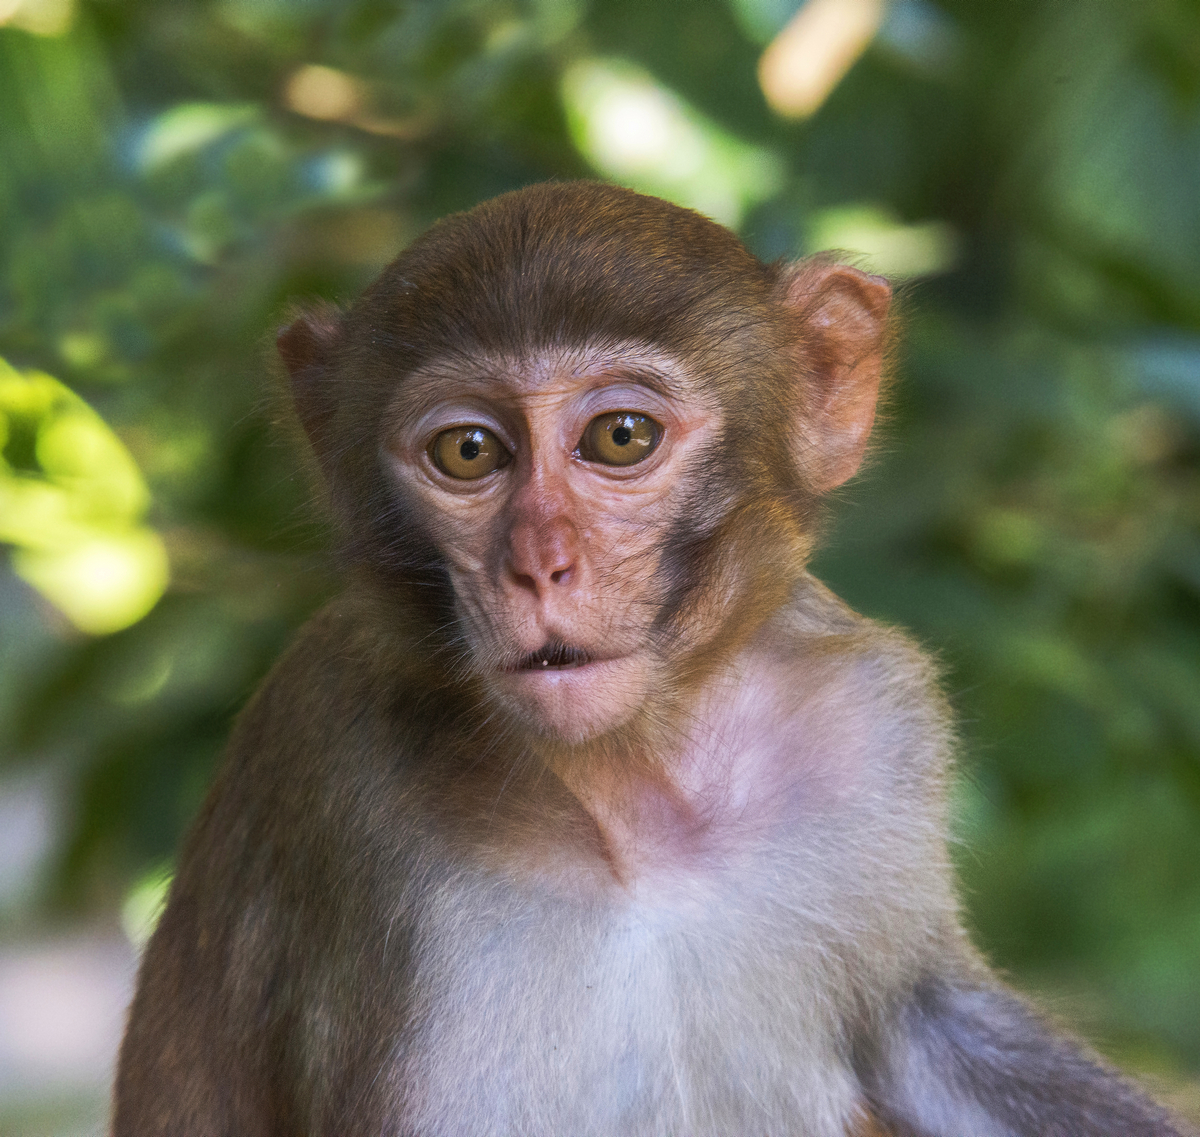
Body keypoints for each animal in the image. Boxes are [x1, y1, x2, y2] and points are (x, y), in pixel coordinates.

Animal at [112, 182, 1190, 1132]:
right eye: (468, 452)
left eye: (620, 436)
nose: (538, 565)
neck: (636, 797)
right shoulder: (341, 774)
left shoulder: (866, 716)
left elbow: (929, 1028)